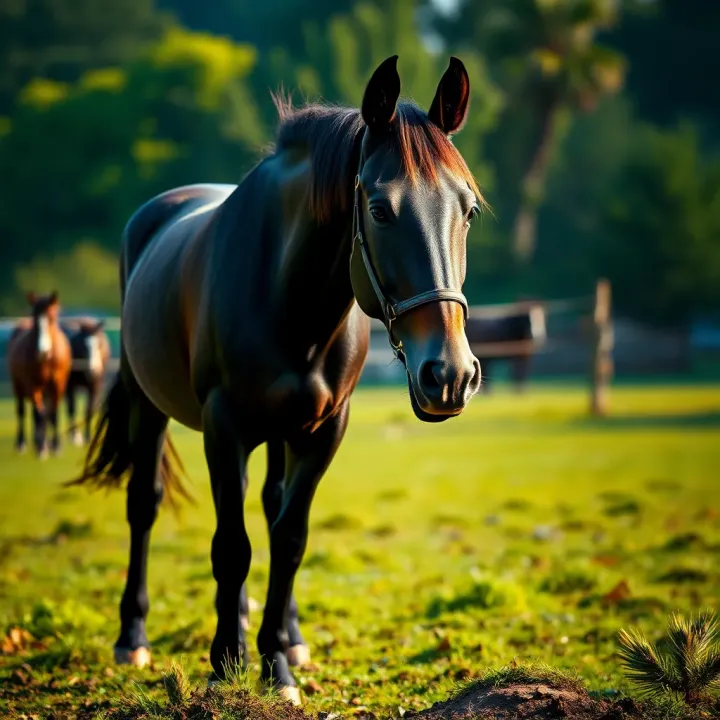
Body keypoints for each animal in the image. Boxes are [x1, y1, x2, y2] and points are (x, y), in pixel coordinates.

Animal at [7, 291, 72, 458]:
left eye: (52, 318)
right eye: (35, 318)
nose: (42, 351)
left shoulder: (57, 385)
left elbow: (53, 414)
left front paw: (55, 445)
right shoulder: (33, 384)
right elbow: (38, 414)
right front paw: (42, 448)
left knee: (44, 413)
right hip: (18, 385)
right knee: (22, 411)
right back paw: (23, 443)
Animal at [70, 55, 483, 704]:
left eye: (468, 209)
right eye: (380, 208)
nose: (450, 374)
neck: (289, 297)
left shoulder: (322, 430)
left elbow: (288, 537)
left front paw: (275, 662)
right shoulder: (225, 426)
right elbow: (231, 546)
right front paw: (227, 659)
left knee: (266, 506)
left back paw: (283, 636)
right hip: (149, 405)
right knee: (146, 505)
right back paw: (133, 636)